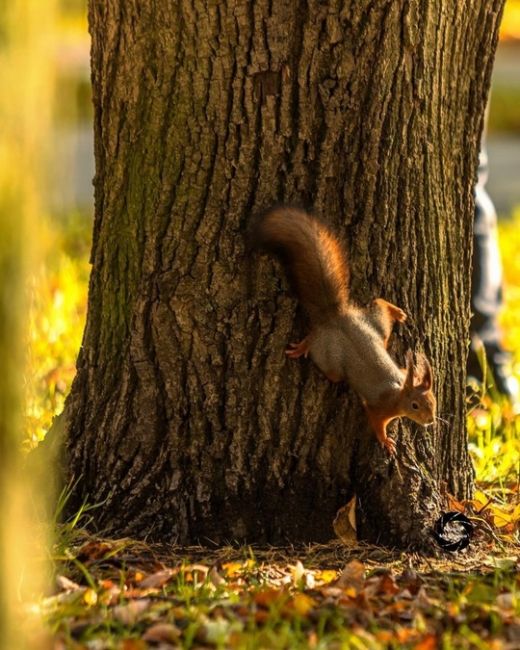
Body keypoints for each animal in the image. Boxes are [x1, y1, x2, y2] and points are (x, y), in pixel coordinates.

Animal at [251, 205, 434, 454]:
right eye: (415, 405)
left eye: (433, 402)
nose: (431, 421)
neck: (398, 394)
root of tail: (336, 317)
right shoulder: (378, 409)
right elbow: (376, 423)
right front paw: (385, 441)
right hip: (330, 359)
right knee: (320, 347)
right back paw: (303, 348)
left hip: (376, 328)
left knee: (379, 304)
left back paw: (397, 312)